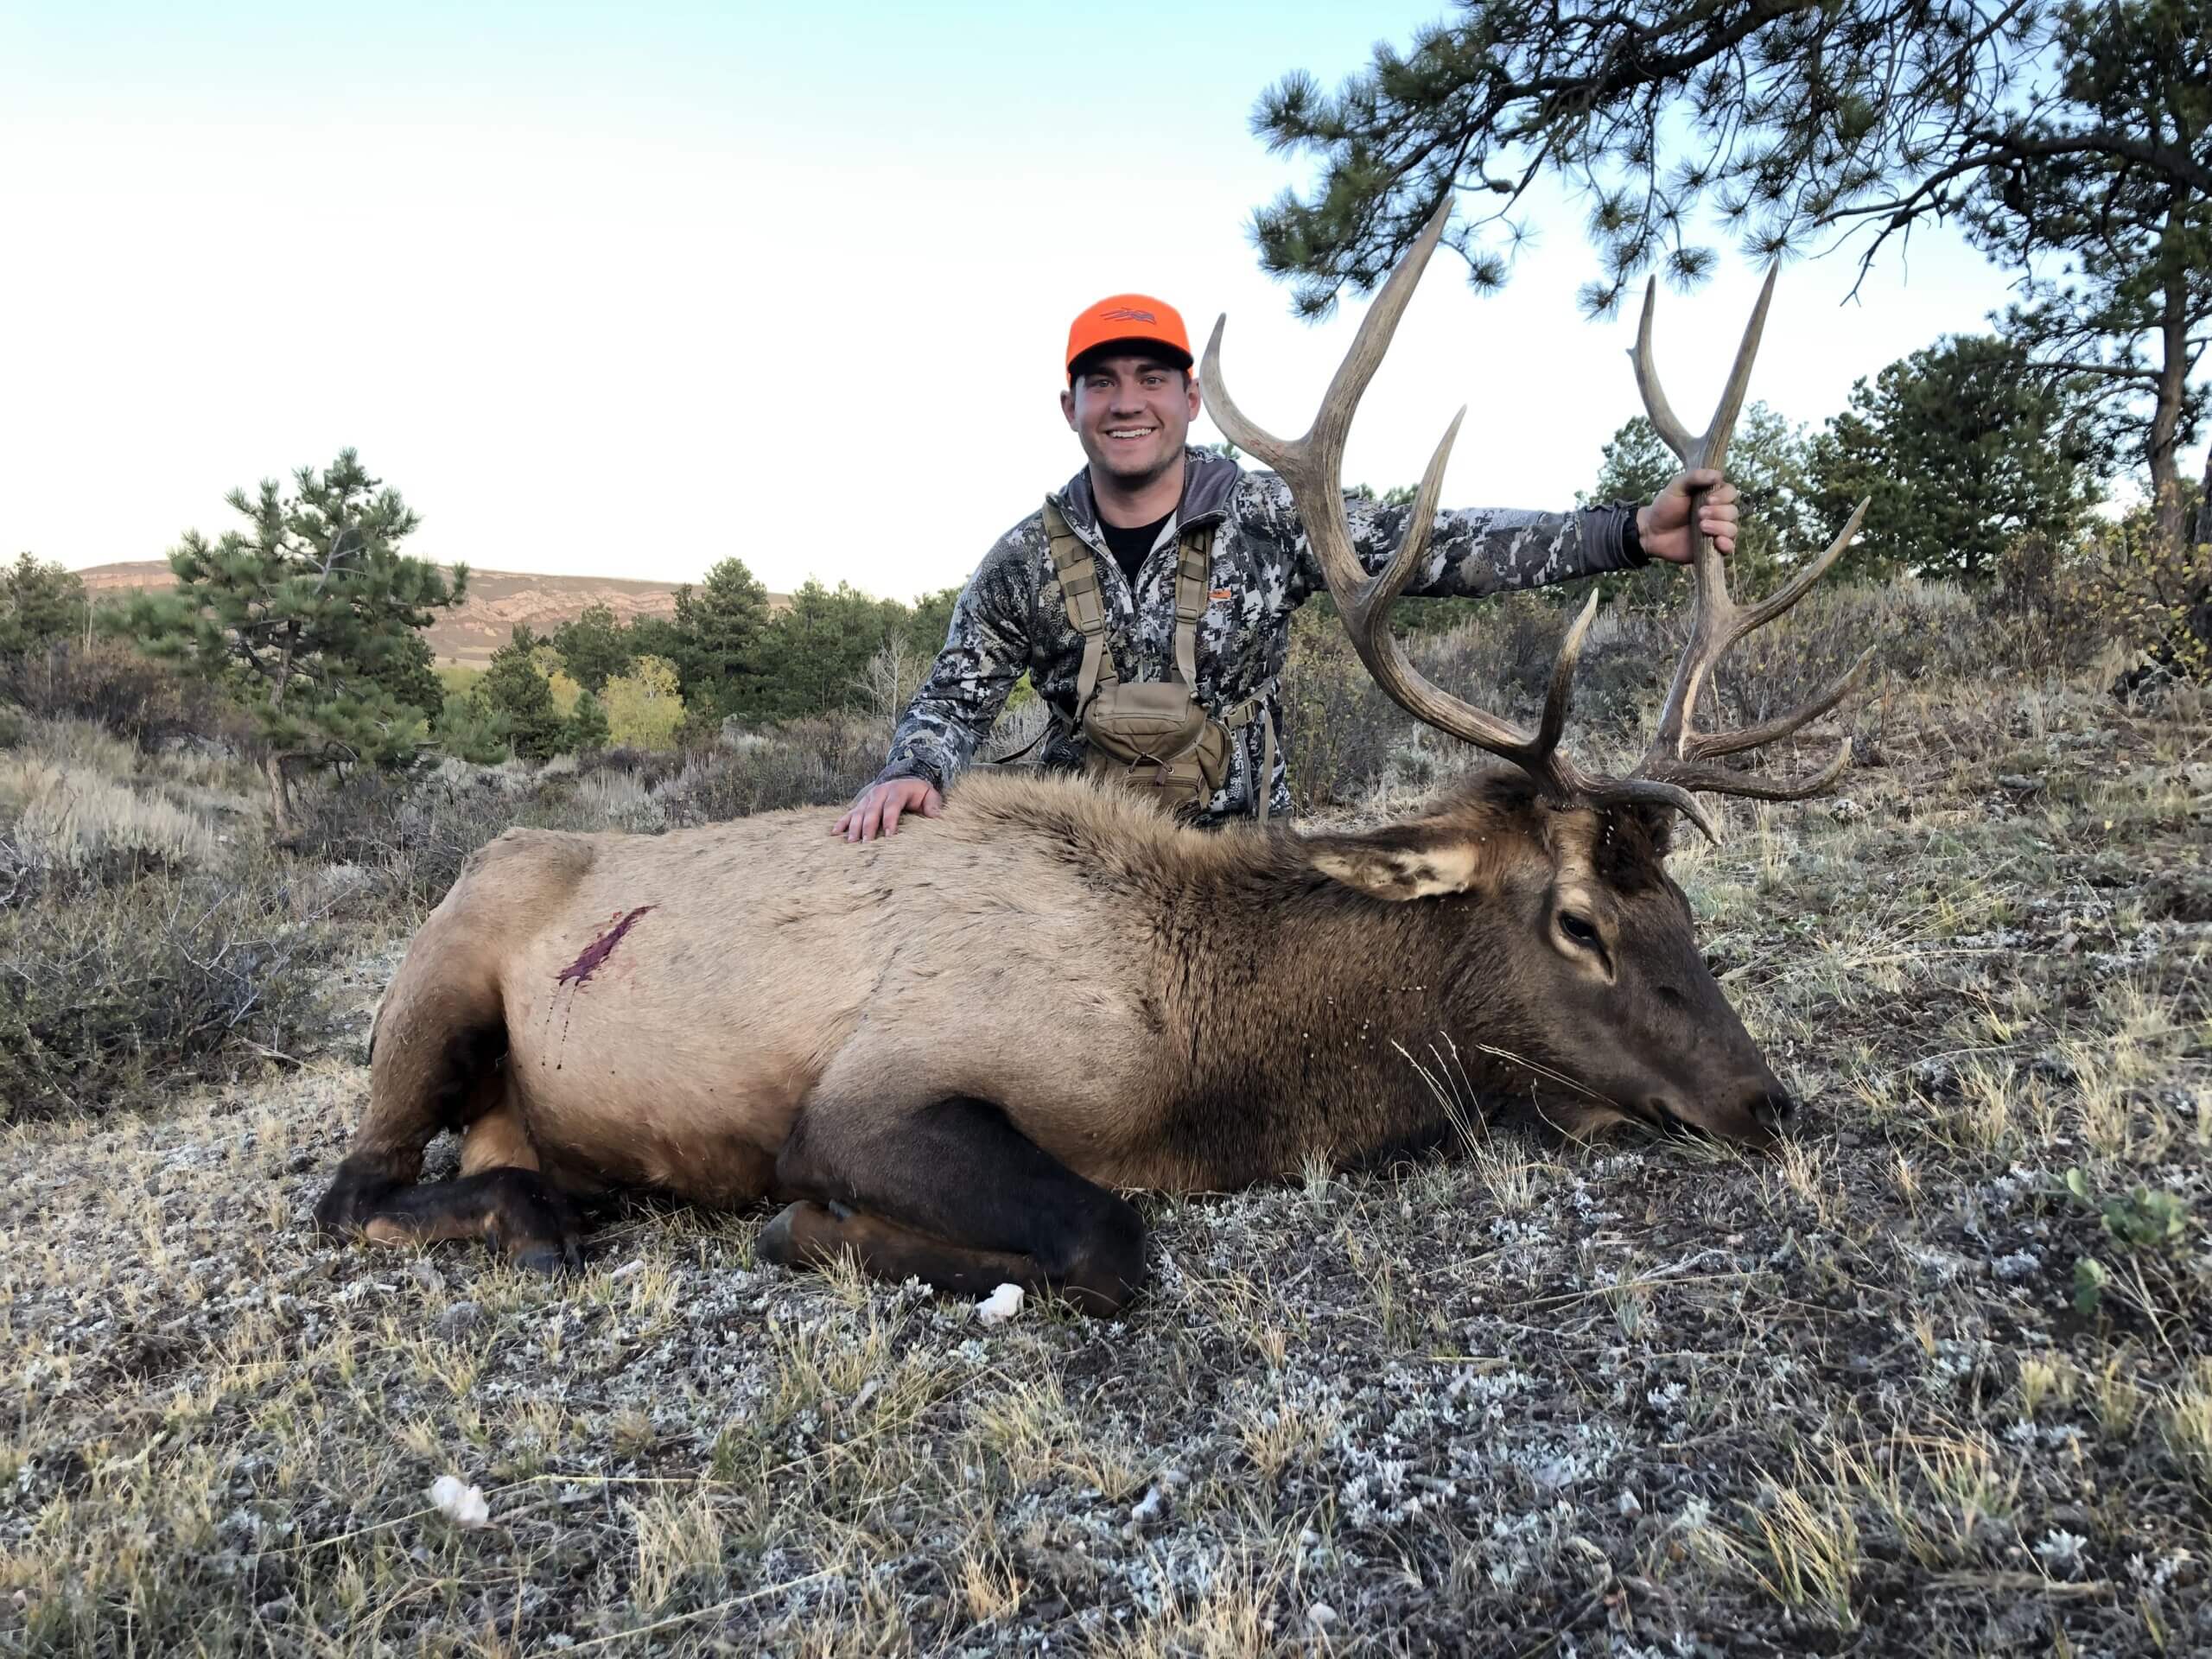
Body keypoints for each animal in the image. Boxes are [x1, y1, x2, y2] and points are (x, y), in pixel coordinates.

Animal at [313, 204, 1873, 1314]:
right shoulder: (871, 1089)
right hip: (434, 992)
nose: (1767, 1101)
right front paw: (805, 1228)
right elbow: (1104, 1236)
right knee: (351, 1192)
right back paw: (551, 1214)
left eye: (1680, 903)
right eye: (1577, 922)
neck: (1202, 1068)